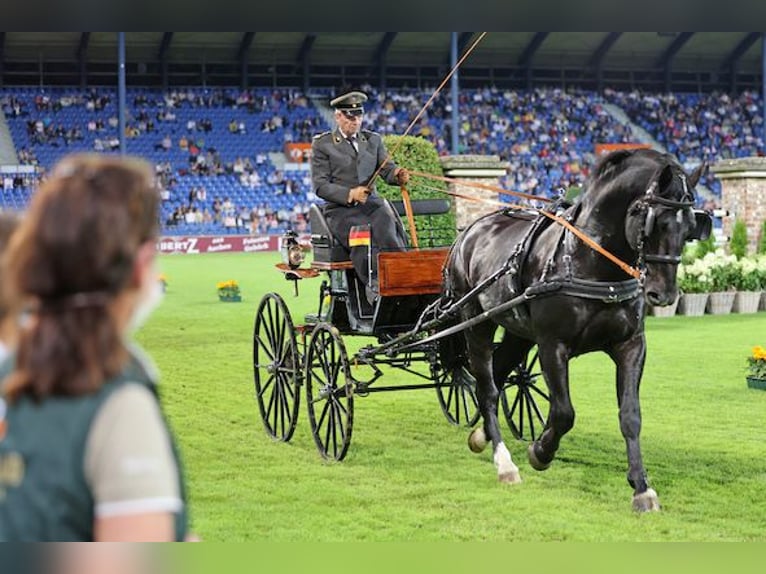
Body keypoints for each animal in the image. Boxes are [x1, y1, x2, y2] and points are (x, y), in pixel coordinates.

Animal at [444, 150, 712, 512]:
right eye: (656, 221)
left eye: (690, 227)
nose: (664, 294)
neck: (591, 262)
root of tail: (471, 229)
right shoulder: (552, 345)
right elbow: (564, 412)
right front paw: (540, 451)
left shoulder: (630, 345)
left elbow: (630, 415)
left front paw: (641, 488)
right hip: (476, 322)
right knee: (486, 387)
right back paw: (504, 462)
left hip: (517, 332)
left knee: (497, 376)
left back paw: (481, 436)